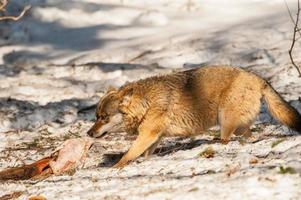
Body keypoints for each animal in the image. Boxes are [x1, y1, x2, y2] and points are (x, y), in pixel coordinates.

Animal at [86, 66, 300, 168]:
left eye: (104, 117)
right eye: (96, 116)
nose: (88, 133)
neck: (146, 103)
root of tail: (259, 78)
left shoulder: (147, 134)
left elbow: (128, 154)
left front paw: (115, 168)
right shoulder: (154, 137)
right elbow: (144, 154)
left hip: (225, 121)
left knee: (226, 140)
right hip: (238, 126)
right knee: (248, 135)